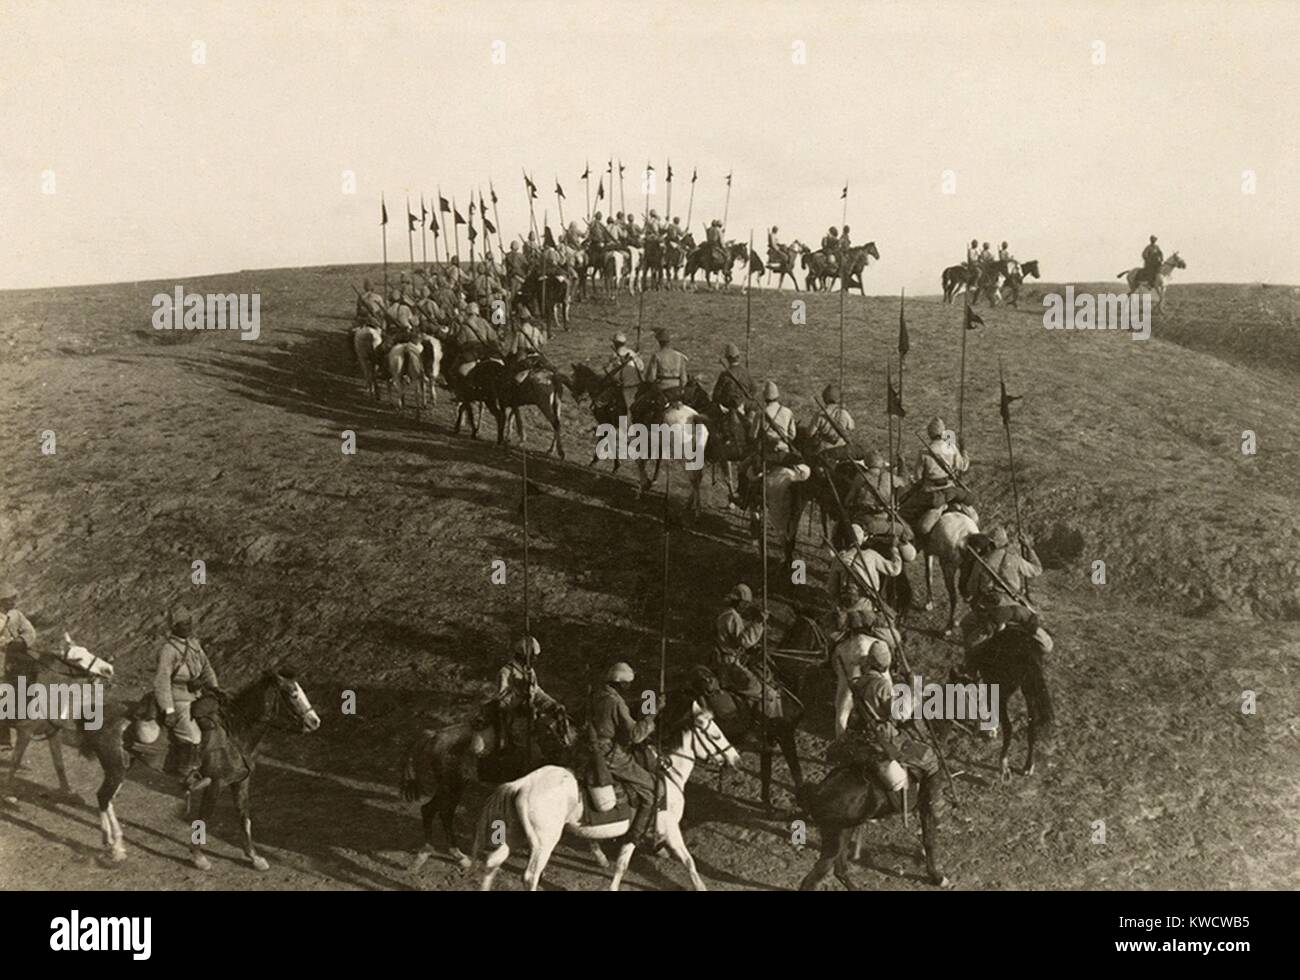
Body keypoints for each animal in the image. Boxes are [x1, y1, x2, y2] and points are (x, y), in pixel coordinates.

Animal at [397, 696, 577, 868]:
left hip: (453, 786)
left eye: (559, 727)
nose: (564, 747)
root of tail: (434, 735)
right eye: (551, 729)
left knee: (442, 813)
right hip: (451, 786)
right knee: (431, 811)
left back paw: (457, 856)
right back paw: (429, 853)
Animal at [475, 696, 743, 889]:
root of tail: (521, 784)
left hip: (514, 834)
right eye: (716, 735)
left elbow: (621, 865)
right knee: (530, 876)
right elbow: (689, 862)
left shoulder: (635, 832)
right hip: (543, 843)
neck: (668, 774)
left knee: (492, 863)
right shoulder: (669, 829)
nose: (736, 759)